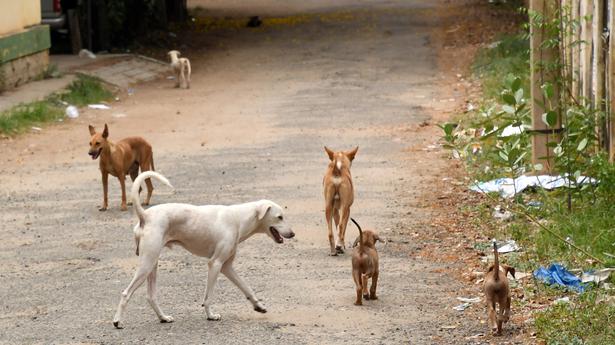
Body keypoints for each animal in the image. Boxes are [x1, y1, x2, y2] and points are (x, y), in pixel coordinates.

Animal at [115, 172, 298, 328]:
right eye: (280, 217)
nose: (292, 234)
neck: (238, 218)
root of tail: (145, 215)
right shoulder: (215, 264)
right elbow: (208, 297)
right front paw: (211, 315)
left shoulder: (227, 267)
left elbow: (246, 288)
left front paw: (258, 305)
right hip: (147, 264)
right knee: (125, 293)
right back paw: (117, 321)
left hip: (152, 265)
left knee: (151, 296)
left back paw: (163, 318)